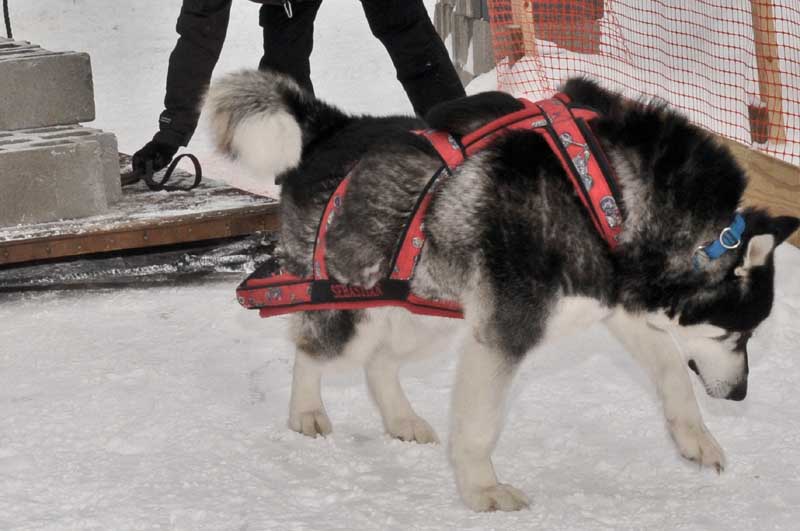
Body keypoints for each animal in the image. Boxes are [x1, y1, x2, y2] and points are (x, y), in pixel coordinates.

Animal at [205, 70, 792, 512]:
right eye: (737, 334)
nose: (740, 395)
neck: (603, 191)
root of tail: (336, 126)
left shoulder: (613, 307)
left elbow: (672, 370)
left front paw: (696, 439)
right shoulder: (506, 332)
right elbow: (480, 424)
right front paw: (482, 490)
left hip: (427, 311)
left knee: (381, 362)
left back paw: (401, 419)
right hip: (353, 307)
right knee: (311, 348)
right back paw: (306, 412)